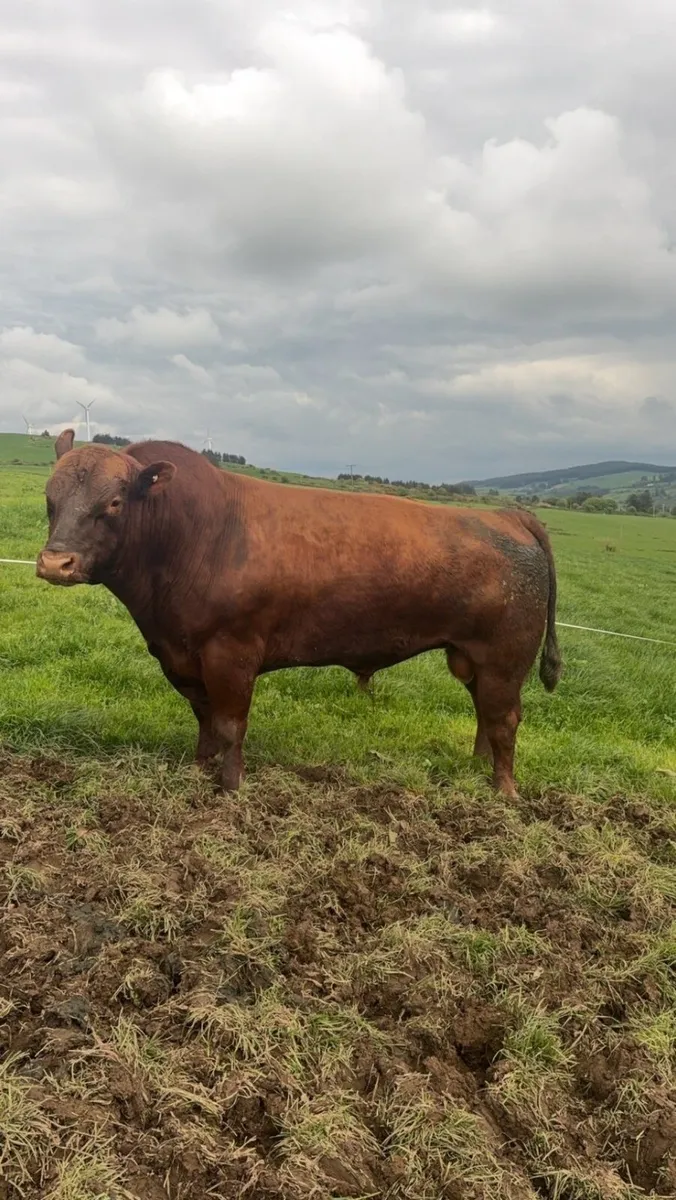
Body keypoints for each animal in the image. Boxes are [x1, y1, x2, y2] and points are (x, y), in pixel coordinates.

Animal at [36, 430, 562, 797]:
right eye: (49, 499)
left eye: (113, 502)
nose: (55, 563)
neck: (192, 535)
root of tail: (507, 515)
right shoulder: (180, 656)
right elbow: (204, 719)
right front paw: (199, 770)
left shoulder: (232, 653)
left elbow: (230, 724)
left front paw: (230, 787)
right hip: (470, 657)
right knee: (484, 713)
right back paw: (476, 768)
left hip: (504, 658)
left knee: (504, 719)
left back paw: (503, 791)